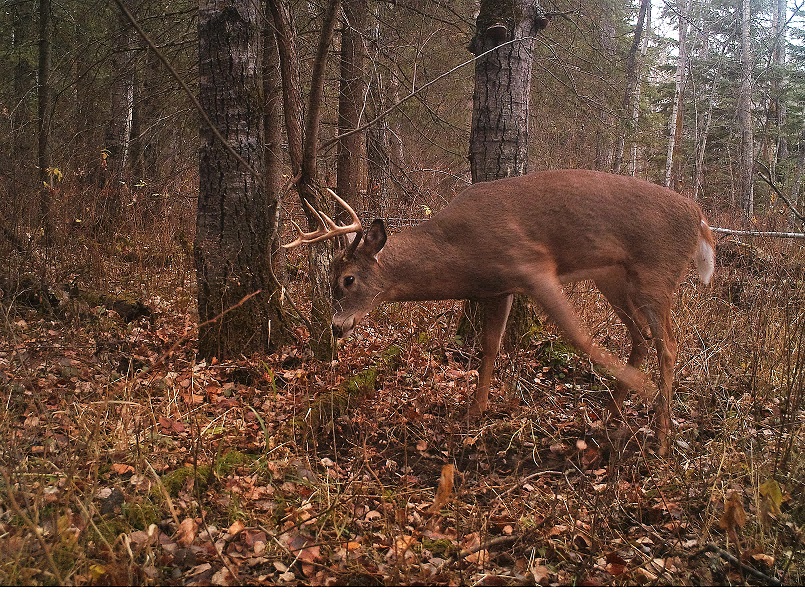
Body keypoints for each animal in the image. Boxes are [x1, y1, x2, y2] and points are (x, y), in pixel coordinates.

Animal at [286, 169, 712, 456]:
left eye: (348, 280)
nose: (336, 327)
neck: (461, 251)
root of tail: (700, 216)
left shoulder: (532, 265)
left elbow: (580, 337)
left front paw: (645, 389)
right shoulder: (499, 287)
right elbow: (490, 346)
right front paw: (476, 409)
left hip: (656, 272)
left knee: (669, 344)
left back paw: (661, 432)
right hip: (613, 278)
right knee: (641, 337)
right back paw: (610, 414)